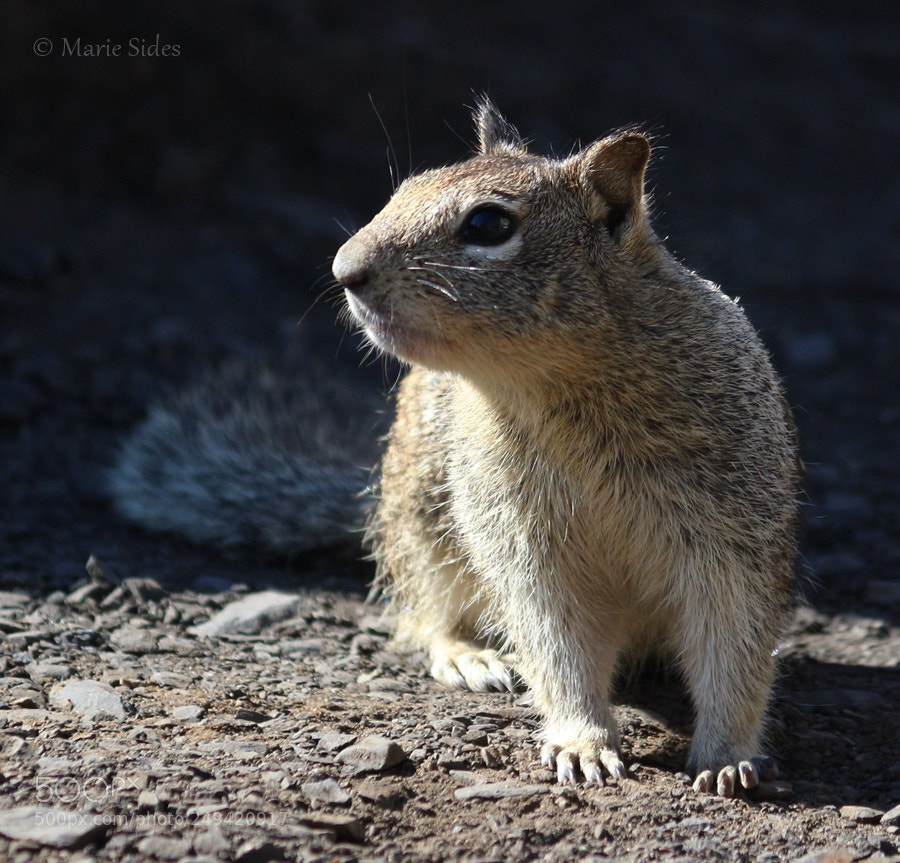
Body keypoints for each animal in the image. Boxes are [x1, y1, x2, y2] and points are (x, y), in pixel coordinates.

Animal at [111, 100, 800, 798]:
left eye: (488, 224)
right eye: (402, 191)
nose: (343, 270)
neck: (548, 390)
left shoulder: (730, 532)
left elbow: (735, 647)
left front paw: (728, 754)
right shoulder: (524, 542)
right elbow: (555, 644)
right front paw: (581, 740)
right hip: (425, 523)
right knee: (422, 613)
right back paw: (469, 657)